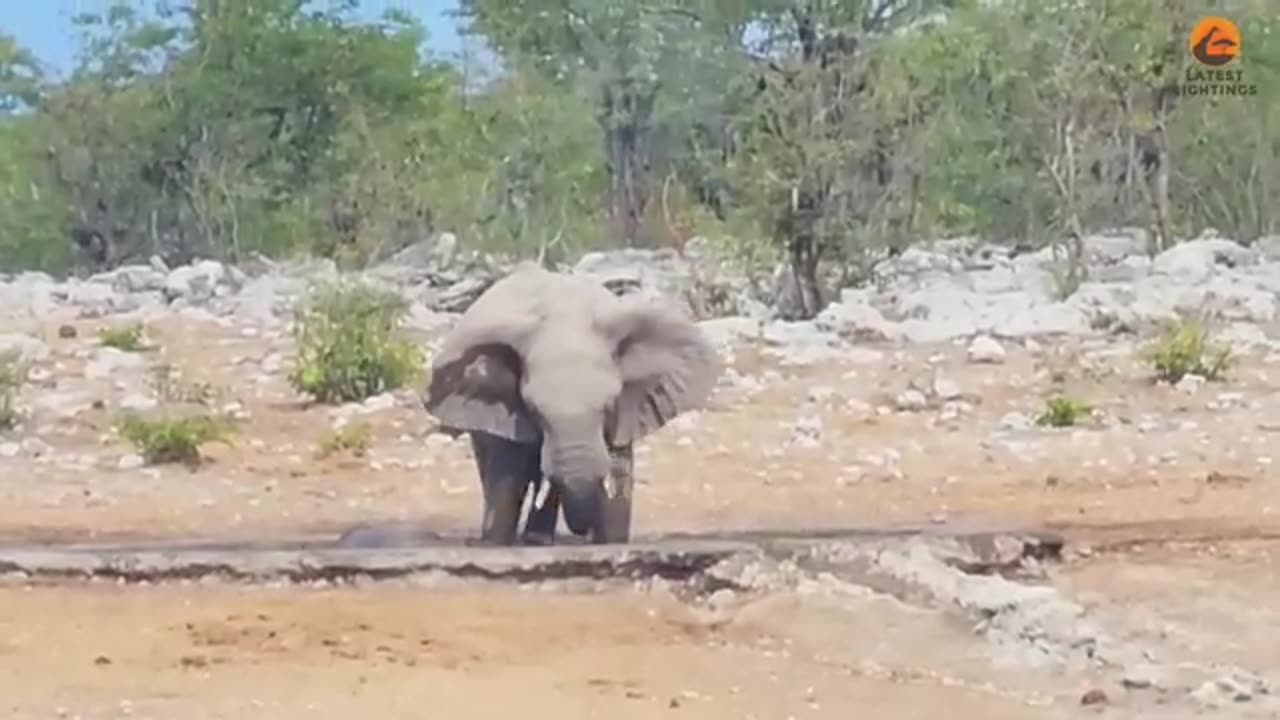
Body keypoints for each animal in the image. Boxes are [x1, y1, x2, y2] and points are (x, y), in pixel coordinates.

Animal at [419, 262, 721, 543]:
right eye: (534, 411)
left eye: (610, 406)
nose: (584, 532)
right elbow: (509, 473)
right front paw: (496, 542)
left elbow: (619, 467)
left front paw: (609, 542)